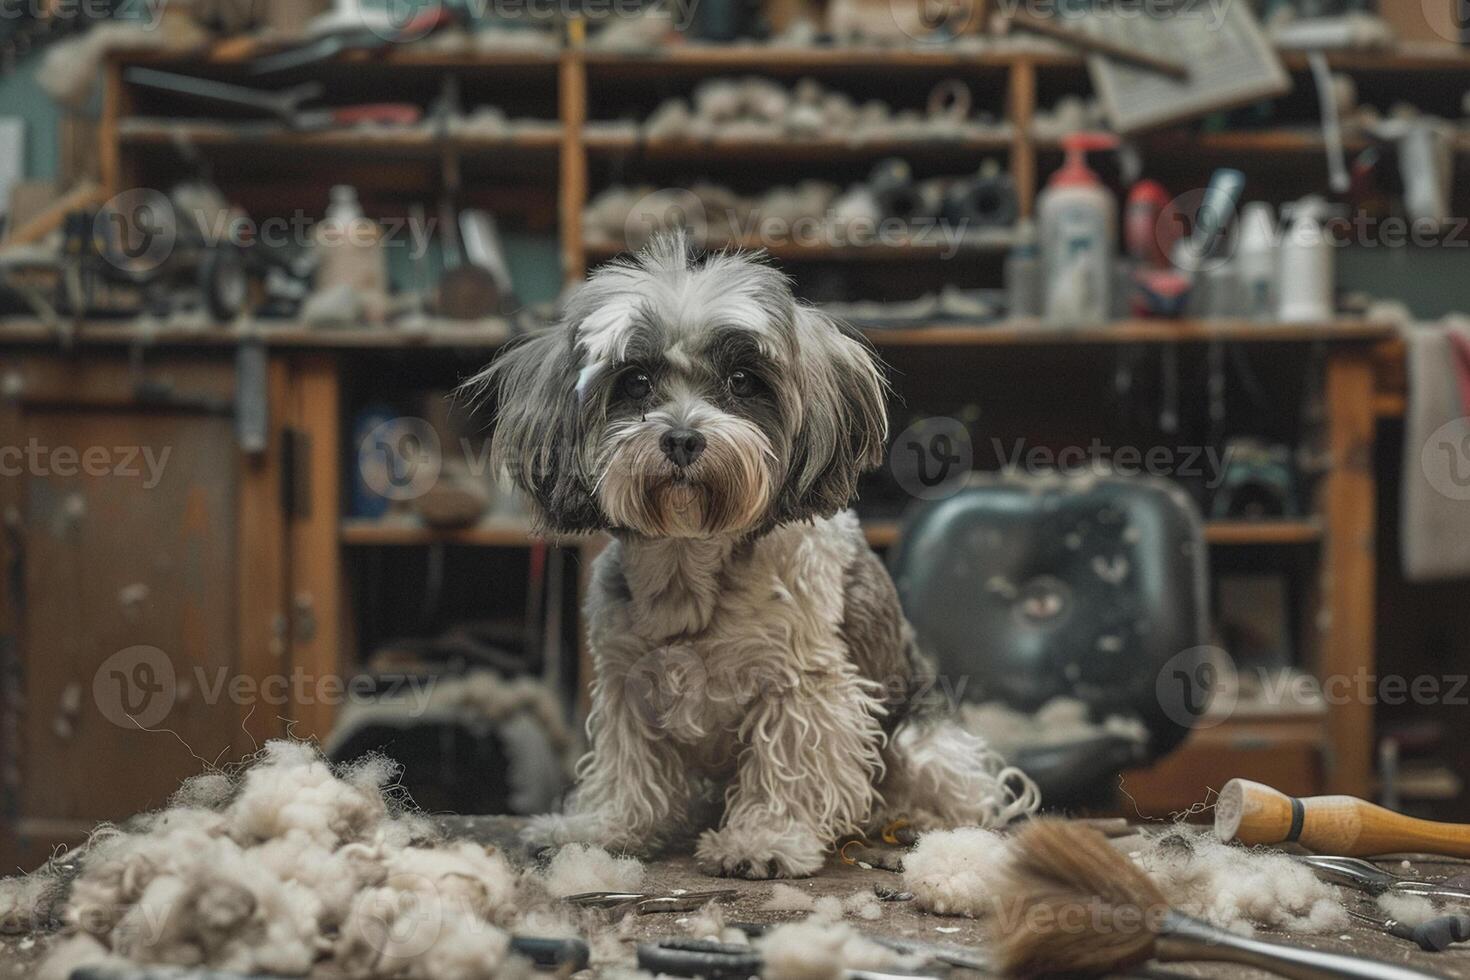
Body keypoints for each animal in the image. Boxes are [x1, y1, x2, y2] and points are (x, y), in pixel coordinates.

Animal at [470, 233, 1034, 875]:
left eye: (742, 380)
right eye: (634, 381)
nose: (682, 438)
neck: (690, 568)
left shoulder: (804, 687)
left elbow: (786, 764)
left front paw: (763, 839)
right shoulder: (625, 684)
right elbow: (627, 767)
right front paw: (607, 827)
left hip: (921, 742)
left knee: (955, 793)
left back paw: (909, 819)